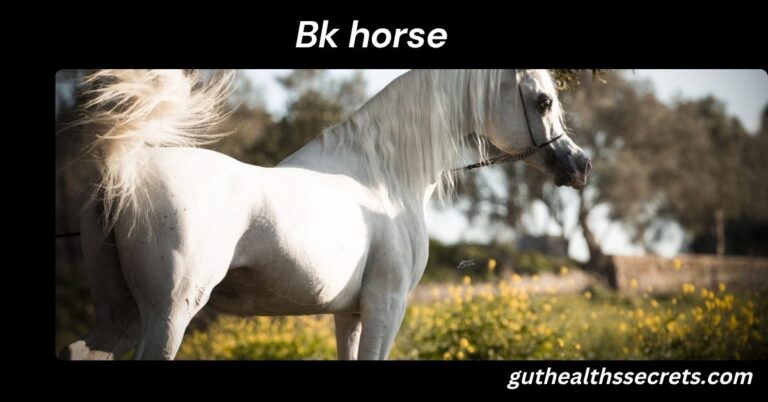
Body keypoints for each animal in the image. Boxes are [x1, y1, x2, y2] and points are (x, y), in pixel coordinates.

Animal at [60, 69, 591, 360]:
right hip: (168, 317)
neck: (381, 177)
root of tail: (125, 170)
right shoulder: (386, 307)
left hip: (121, 316)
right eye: (543, 100)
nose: (580, 165)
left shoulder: (349, 314)